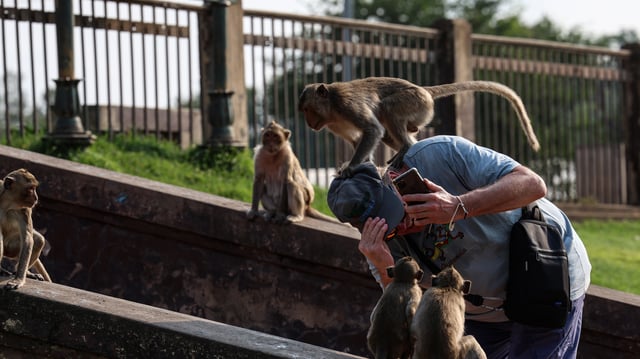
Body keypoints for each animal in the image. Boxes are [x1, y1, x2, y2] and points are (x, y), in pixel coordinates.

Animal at [300, 77, 540, 177]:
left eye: (308, 109)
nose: (308, 123)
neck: (332, 107)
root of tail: (424, 89)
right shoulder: (334, 124)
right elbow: (359, 139)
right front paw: (360, 163)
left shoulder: (347, 105)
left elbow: (372, 130)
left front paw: (351, 167)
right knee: (389, 127)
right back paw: (410, 139)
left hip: (415, 101)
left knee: (387, 109)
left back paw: (406, 146)